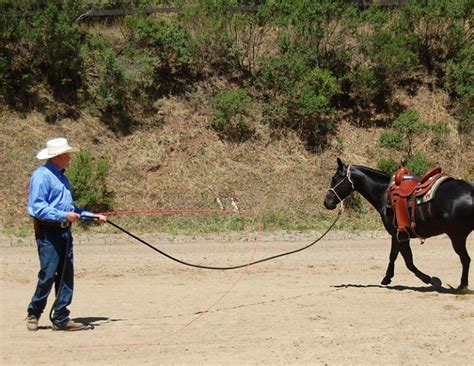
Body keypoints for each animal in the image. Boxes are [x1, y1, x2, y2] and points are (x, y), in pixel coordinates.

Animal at [324, 159, 472, 290]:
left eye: (335, 178)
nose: (326, 202)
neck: (384, 193)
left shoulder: (398, 235)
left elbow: (407, 261)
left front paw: (429, 279)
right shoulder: (398, 235)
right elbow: (395, 256)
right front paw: (387, 278)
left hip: (457, 237)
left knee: (465, 259)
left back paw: (462, 285)